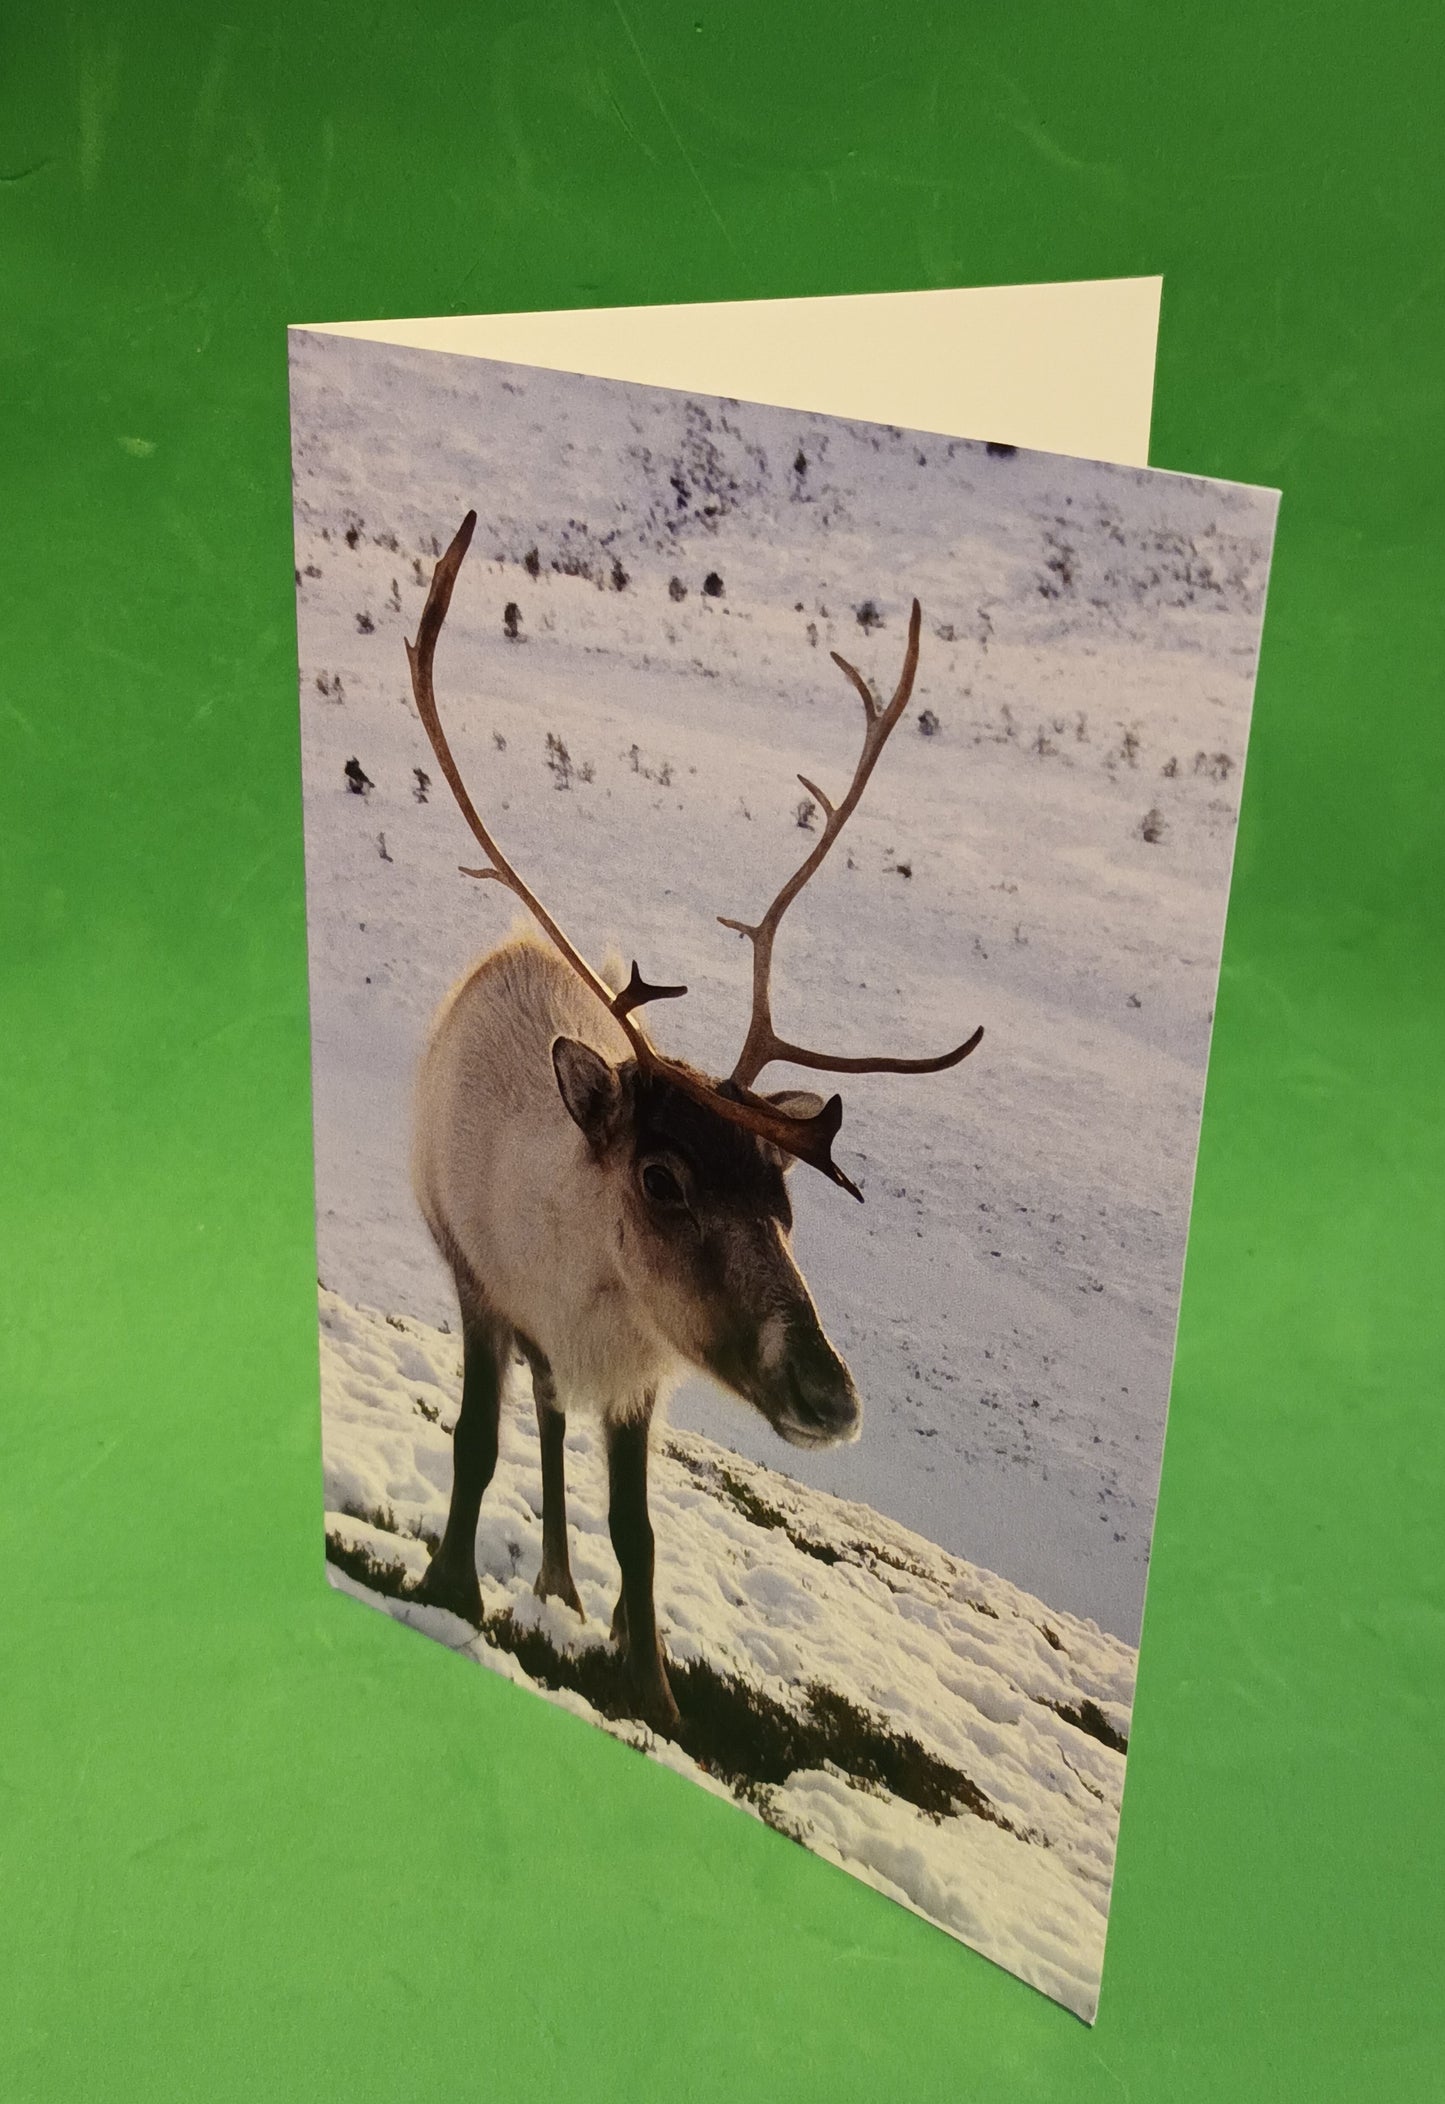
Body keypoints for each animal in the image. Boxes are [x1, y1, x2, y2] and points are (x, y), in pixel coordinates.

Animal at [404, 512, 982, 1732]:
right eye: (662, 1178)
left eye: (786, 1198)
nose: (830, 1395)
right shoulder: (480, 1290)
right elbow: (476, 1445)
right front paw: (447, 1588)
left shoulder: (642, 1376)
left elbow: (641, 1533)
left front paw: (653, 1690)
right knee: (538, 1417)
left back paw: (573, 1588)